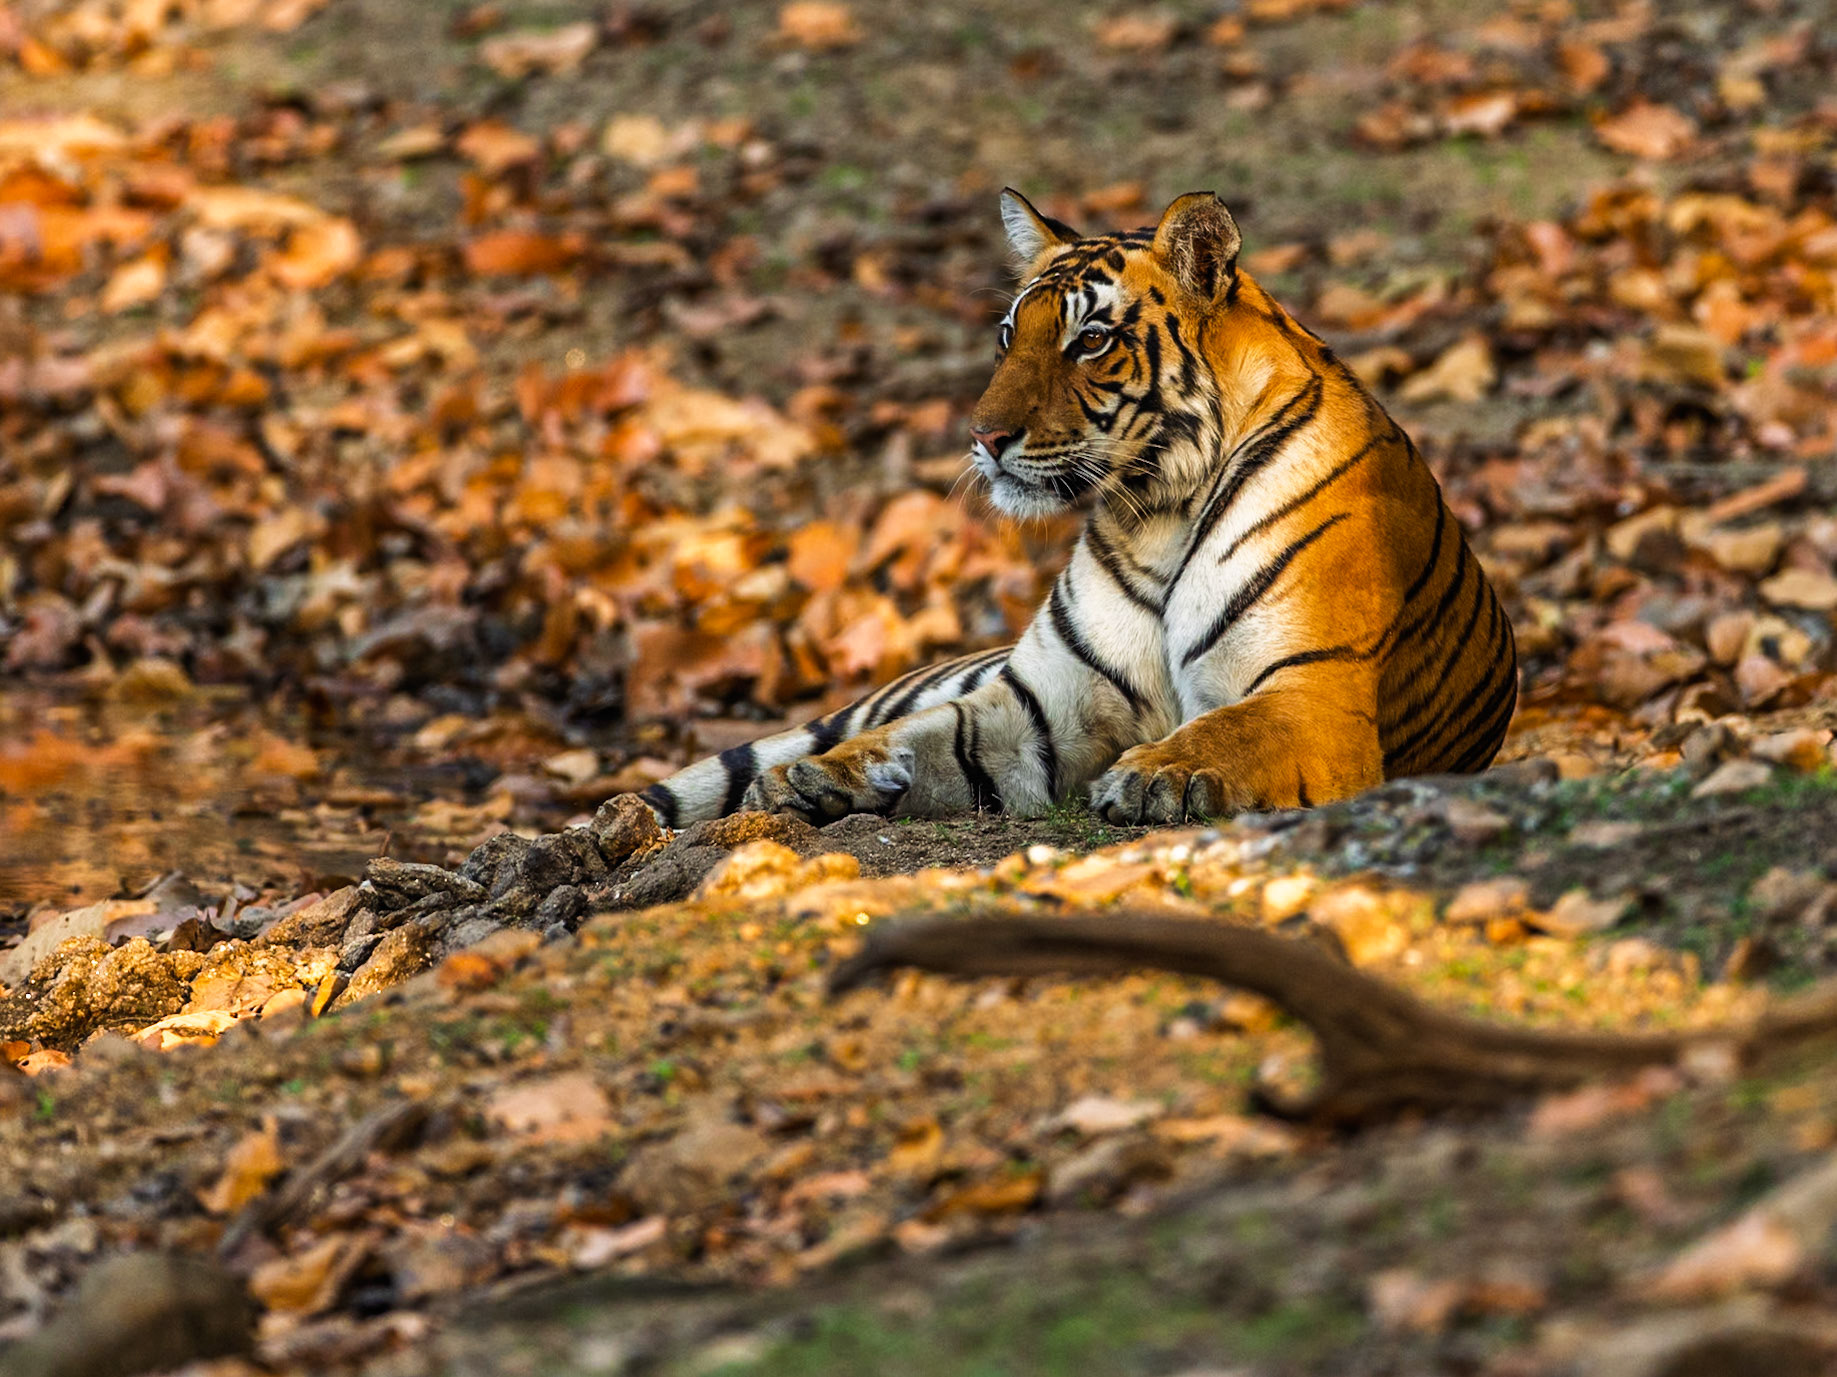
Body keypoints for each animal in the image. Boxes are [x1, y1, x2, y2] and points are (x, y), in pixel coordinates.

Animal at [636, 189, 1517, 829]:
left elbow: (1228, 727)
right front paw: (822, 775)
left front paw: (1158, 774)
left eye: (1089, 340)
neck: (1158, 509)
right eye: (1006, 334)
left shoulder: (1312, 694)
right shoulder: (1037, 705)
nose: (983, 436)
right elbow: (932, 732)